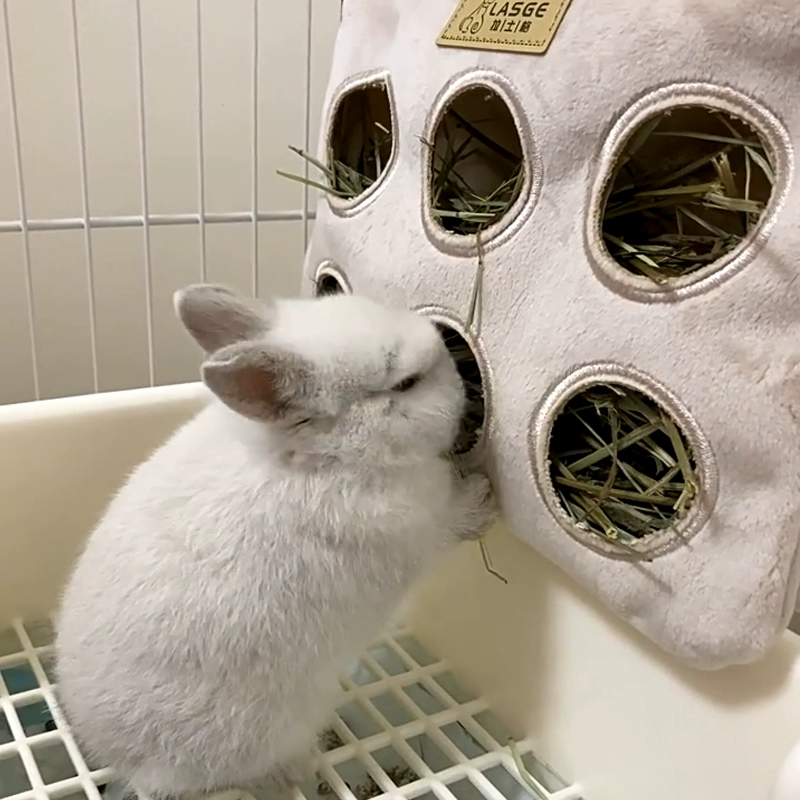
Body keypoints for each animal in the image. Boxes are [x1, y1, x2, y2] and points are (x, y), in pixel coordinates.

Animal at [54, 284, 498, 800]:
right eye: (405, 383)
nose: (461, 372)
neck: (326, 456)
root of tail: (128, 766)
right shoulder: (423, 527)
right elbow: (455, 519)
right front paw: (485, 495)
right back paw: (293, 772)